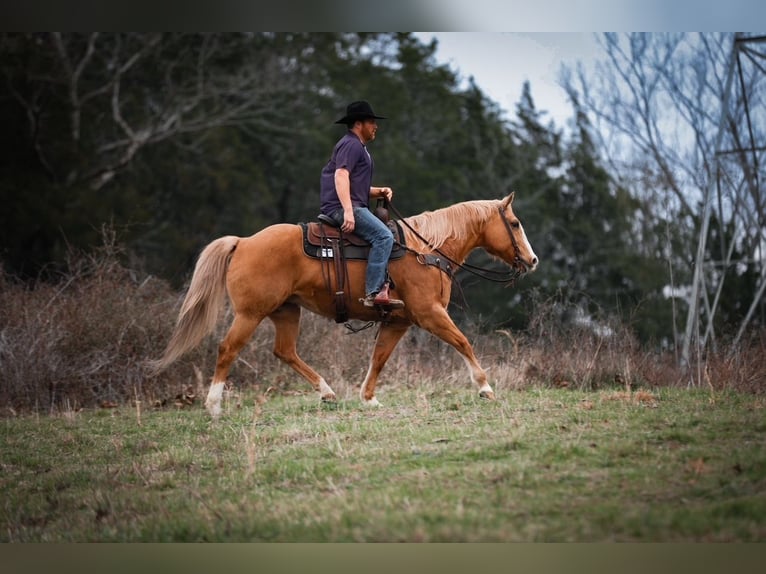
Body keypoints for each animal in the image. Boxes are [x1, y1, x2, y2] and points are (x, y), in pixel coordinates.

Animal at [150, 193, 538, 418]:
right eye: (515, 223)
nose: (532, 260)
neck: (426, 250)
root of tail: (243, 242)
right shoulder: (430, 314)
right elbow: (462, 342)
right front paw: (484, 387)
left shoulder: (397, 322)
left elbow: (379, 358)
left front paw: (368, 398)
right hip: (250, 314)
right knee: (228, 349)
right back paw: (214, 406)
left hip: (286, 311)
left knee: (285, 351)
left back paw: (327, 392)